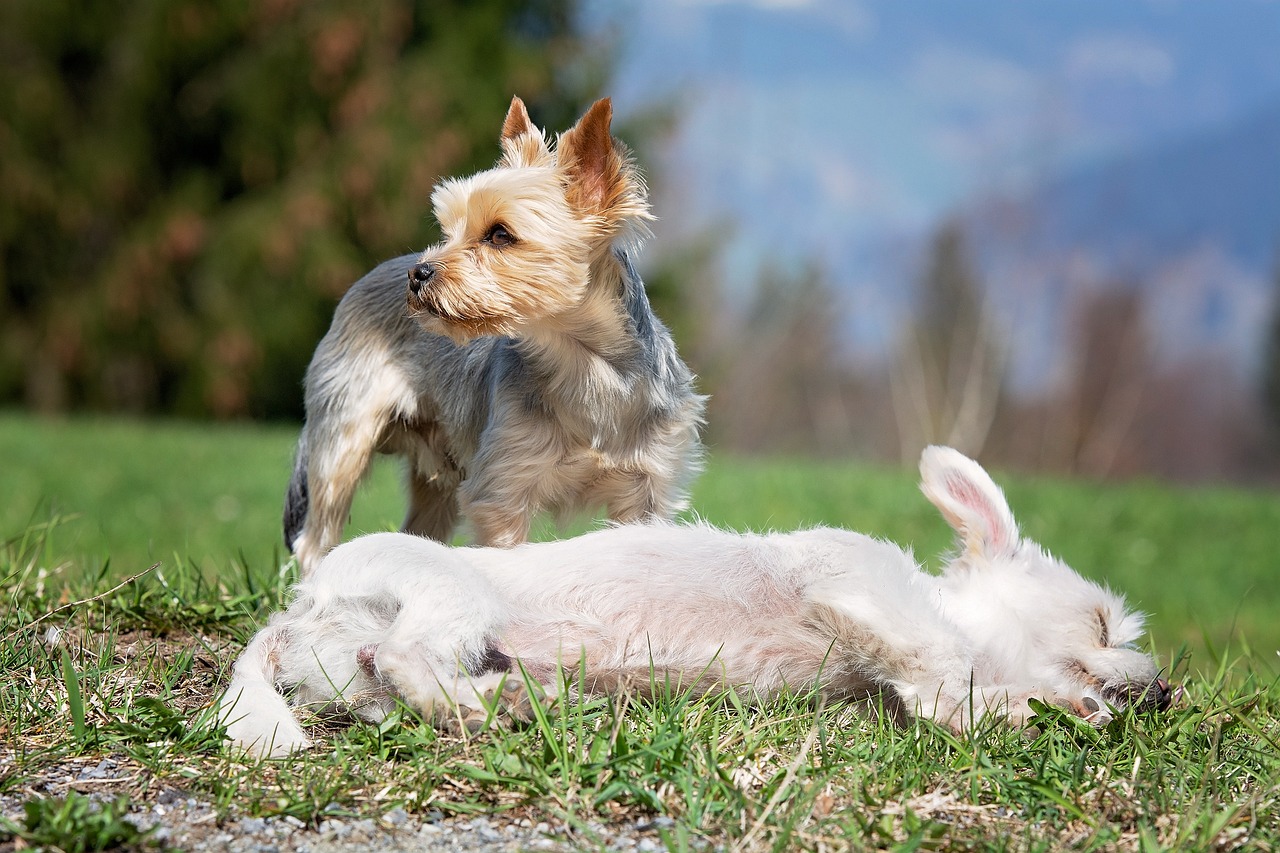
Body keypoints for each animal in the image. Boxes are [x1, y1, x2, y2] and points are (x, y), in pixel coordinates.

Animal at [220, 445, 1172, 753]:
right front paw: (1029, 708)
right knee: (408, 656)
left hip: (358, 671)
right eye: (1100, 619)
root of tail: (297, 608)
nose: (1167, 691)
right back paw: (503, 703)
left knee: (389, 685)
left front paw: (1028, 708)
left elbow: (937, 693)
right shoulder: (849, 582)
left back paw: (520, 698)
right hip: (453, 596)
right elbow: (942, 668)